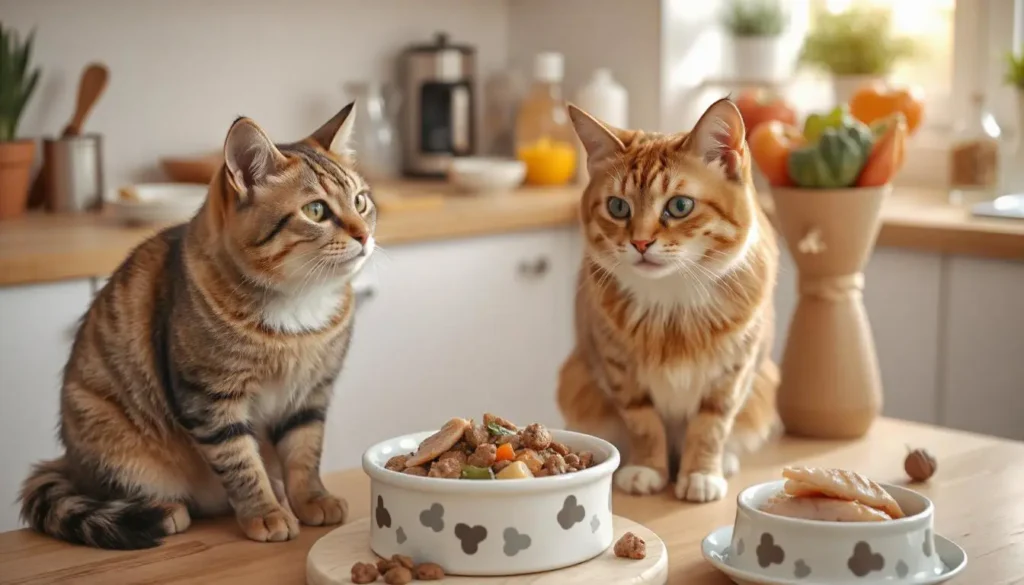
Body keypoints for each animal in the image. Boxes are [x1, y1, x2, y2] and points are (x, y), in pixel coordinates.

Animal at [18, 102, 376, 549]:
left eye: (361, 201)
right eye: (316, 211)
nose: (364, 235)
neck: (298, 304)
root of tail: (68, 462)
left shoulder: (310, 392)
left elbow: (305, 452)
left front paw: (312, 499)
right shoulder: (210, 397)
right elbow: (241, 462)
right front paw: (265, 513)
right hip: (110, 435)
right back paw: (167, 509)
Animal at [557, 97, 778, 504]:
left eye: (679, 206)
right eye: (618, 207)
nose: (640, 242)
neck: (673, 301)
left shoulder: (734, 371)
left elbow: (711, 426)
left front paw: (702, 475)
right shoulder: (618, 368)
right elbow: (643, 423)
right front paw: (647, 470)